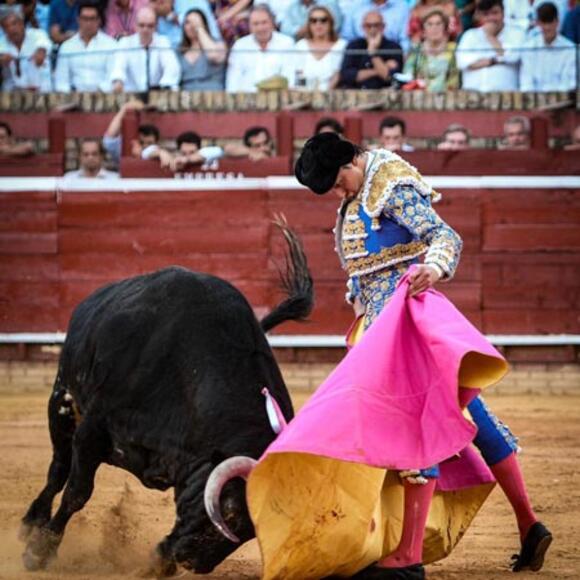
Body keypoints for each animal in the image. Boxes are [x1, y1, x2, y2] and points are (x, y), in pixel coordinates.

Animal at [19, 222, 312, 576]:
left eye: (253, 531)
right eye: (227, 510)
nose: (192, 563)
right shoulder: (93, 429)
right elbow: (77, 492)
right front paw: (39, 552)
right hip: (62, 401)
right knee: (58, 469)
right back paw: (29, 525)